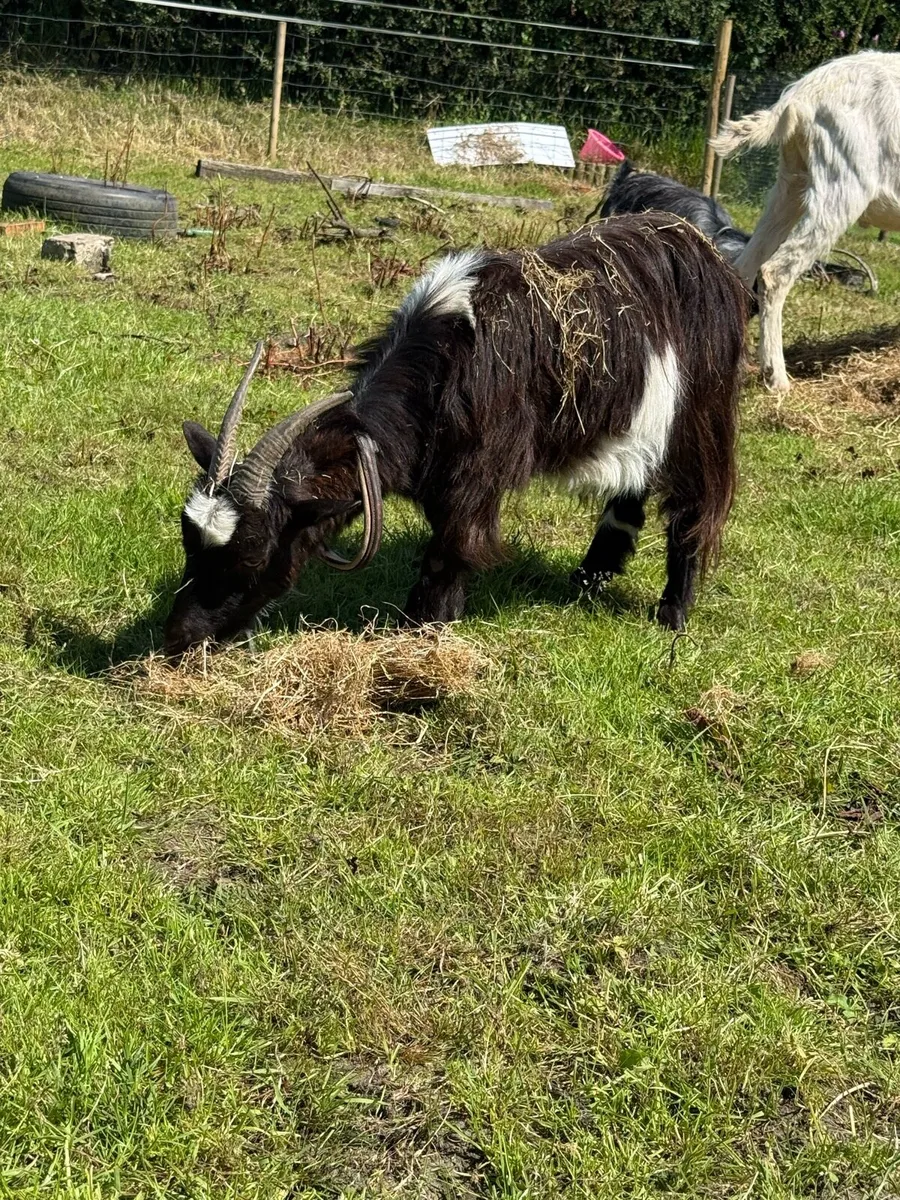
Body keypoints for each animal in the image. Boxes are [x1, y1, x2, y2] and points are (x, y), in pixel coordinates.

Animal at [163, 214, 747, 656]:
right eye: (190, 545)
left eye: (252, 555)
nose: (177, 639)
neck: (442, 361)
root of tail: (704, 250)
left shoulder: (475, 475)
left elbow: (451, 550)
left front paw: (423, 635)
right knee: (633, 485)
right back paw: (590, 577)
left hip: (702, 411)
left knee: (694, 505)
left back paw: (673, 612)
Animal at [710, 50, 900, 392]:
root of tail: (802, 94)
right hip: (842, 182)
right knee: (775, 272)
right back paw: (777, 378)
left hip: (791, 183)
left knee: (744, 267)